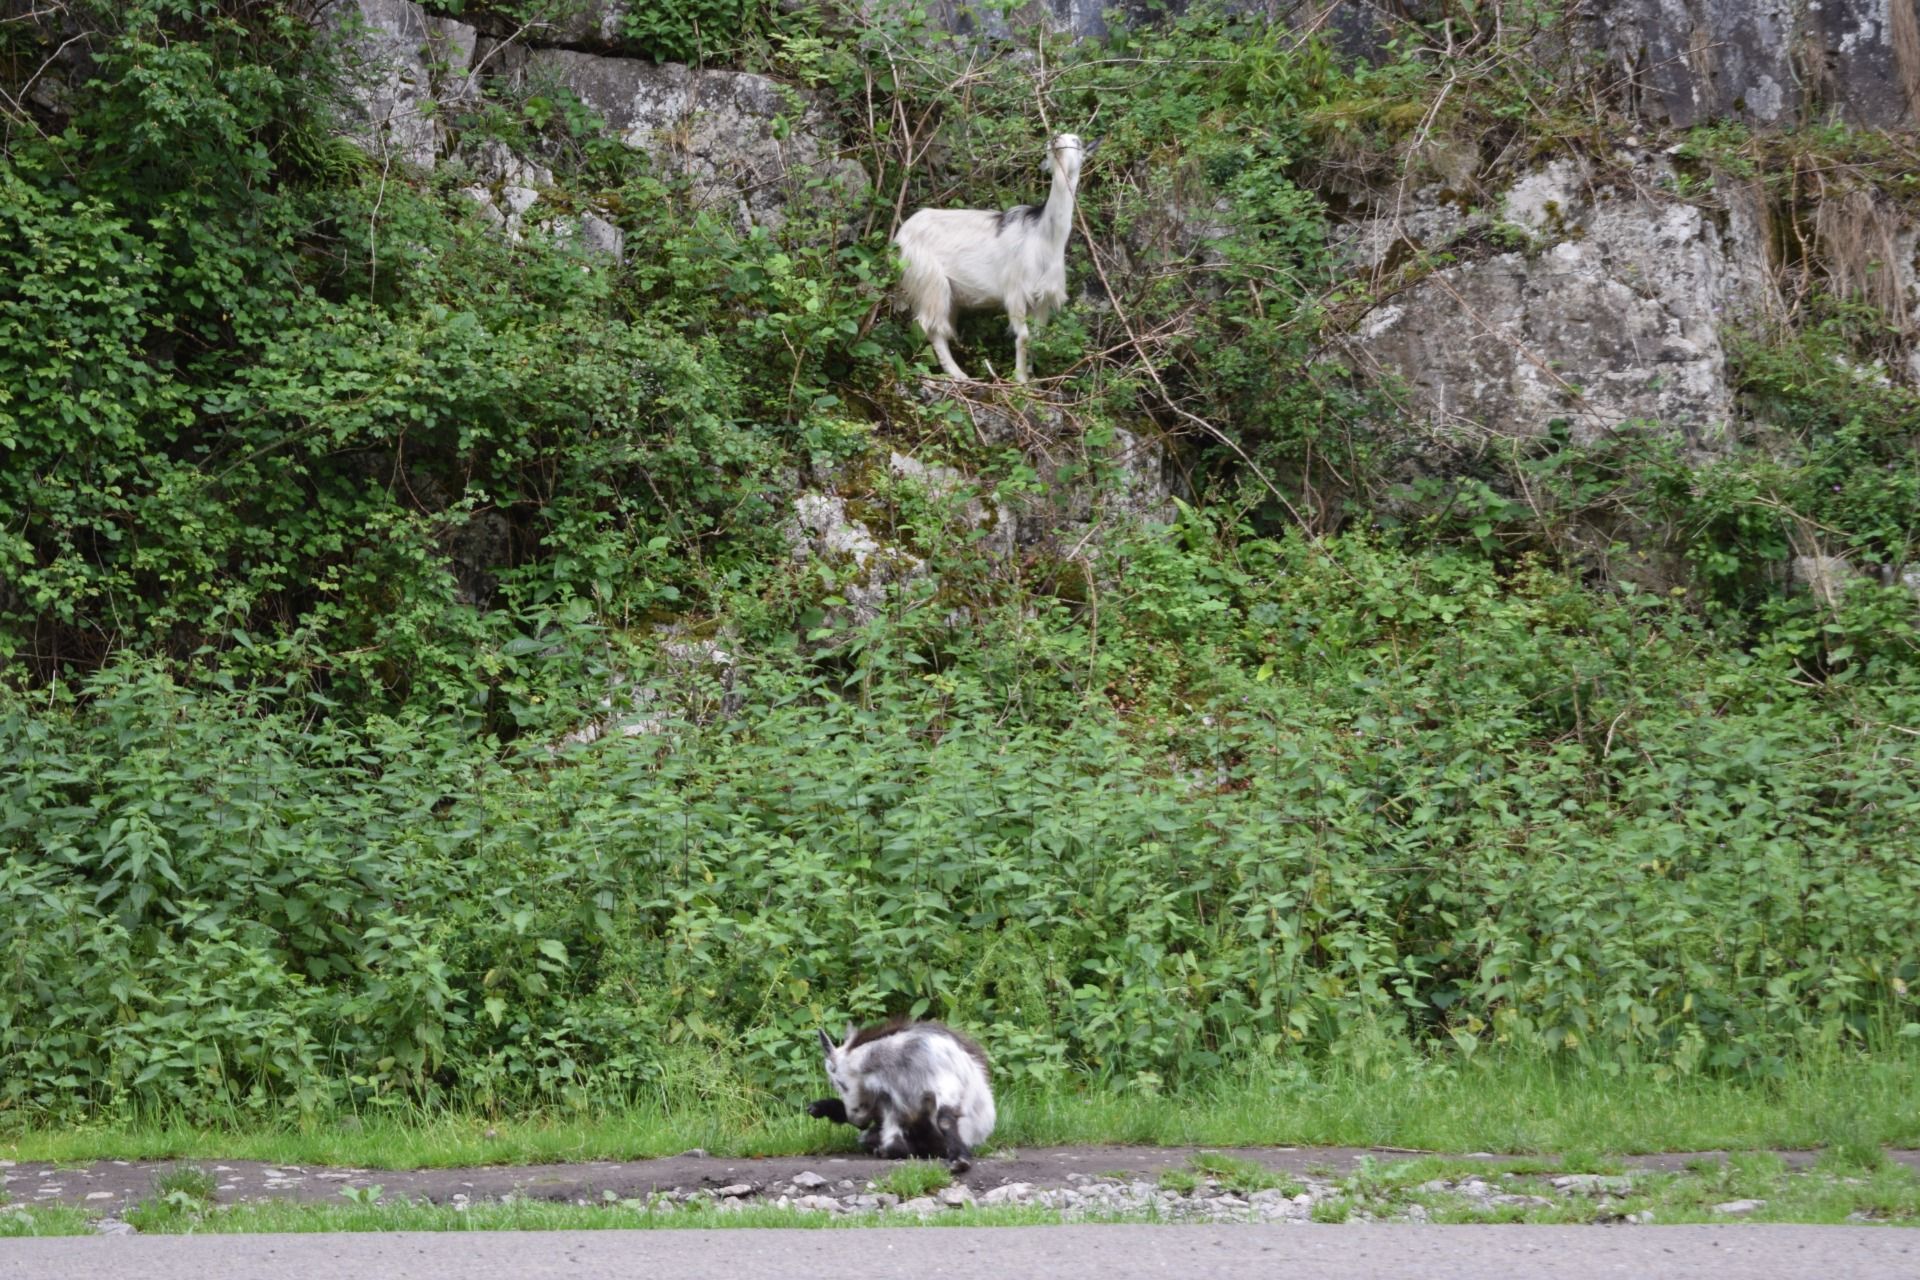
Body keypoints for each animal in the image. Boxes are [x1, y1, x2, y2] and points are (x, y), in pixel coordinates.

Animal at [806, 1018, 995, 1172]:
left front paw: (959, 1160)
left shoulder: (946, 1085)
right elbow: (893, 1140)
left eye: (836, 1082)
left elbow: (945, 1120)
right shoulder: (889, 1099)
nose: (857, 1119)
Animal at [893, 133, 1087, 383]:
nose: (1055, 140)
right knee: (932, 327)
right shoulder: (1016, 291)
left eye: (1077, 141)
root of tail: (901, 234)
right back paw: (958, 374)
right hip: (929, 280)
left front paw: (1032, 378)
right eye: (1058, 136)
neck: (1045, 235)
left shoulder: (1043, 297)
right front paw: (1020, 379)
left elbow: (1037, 336)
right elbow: (1024, 335)